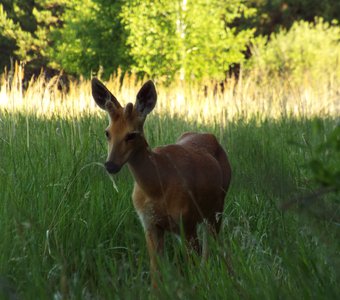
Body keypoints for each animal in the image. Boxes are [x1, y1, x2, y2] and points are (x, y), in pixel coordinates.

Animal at [91, 78, 232, 288]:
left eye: (131, 134)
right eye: (107, 132)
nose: (110, 165)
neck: (157, 188)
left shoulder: (186, 221)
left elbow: (191, 269)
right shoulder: (149, 224)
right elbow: (156, 273)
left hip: (217, 208)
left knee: (214, 248)